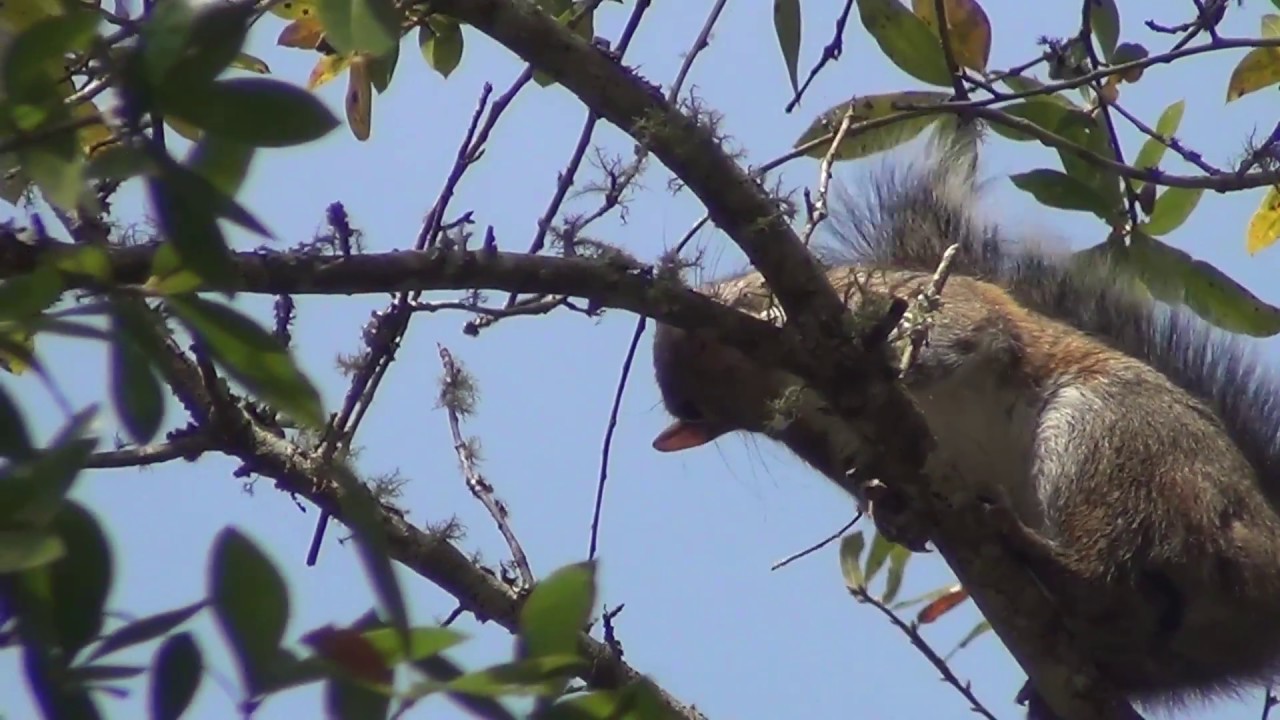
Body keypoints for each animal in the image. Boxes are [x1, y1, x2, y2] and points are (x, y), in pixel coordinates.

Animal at [649, 159, 1280, 717]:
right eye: (702, 412)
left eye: (740, 287)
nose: (678, 341)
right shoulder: (832, 442)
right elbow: (868, 479)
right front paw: (889, 510)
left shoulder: (925, 300)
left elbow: (966, 331)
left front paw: (895, 359)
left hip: (1105, 438)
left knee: (1107, 564)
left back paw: (1034, 551)